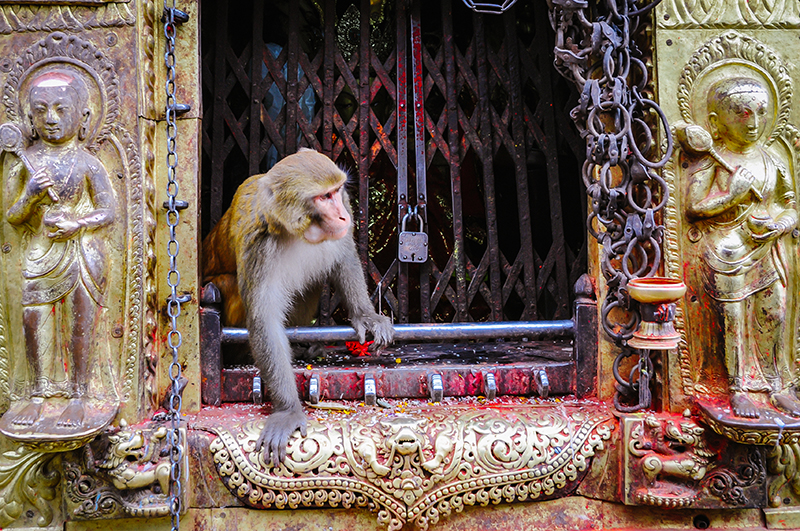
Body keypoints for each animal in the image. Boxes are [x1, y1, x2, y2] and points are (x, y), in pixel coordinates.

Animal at [203, 149, 394, 466]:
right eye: (323, 197)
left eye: (337, 191)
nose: (342, 215)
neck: (301, 230)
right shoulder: (258, 245)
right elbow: (265, 321)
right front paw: (288, 410)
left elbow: (344, 256)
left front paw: (365, 315)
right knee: (231, 288)